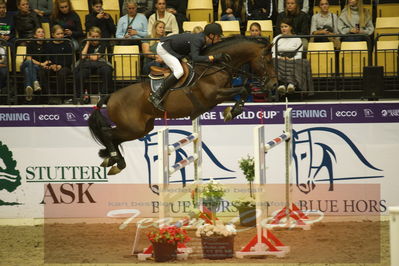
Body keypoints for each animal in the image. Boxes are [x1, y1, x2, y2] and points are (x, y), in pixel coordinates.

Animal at [89, 36, 278, 176]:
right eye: (268, 61)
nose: (274, 85)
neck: (216, 66)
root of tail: (111, 96)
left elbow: (244, 90)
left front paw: (232, 111)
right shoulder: (213, 95)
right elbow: (244, 89)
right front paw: (233, 111)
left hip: (141, 128)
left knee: (114, 137)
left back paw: (111, 159)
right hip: (133, 127)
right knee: (108, 134)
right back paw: (116, 160)